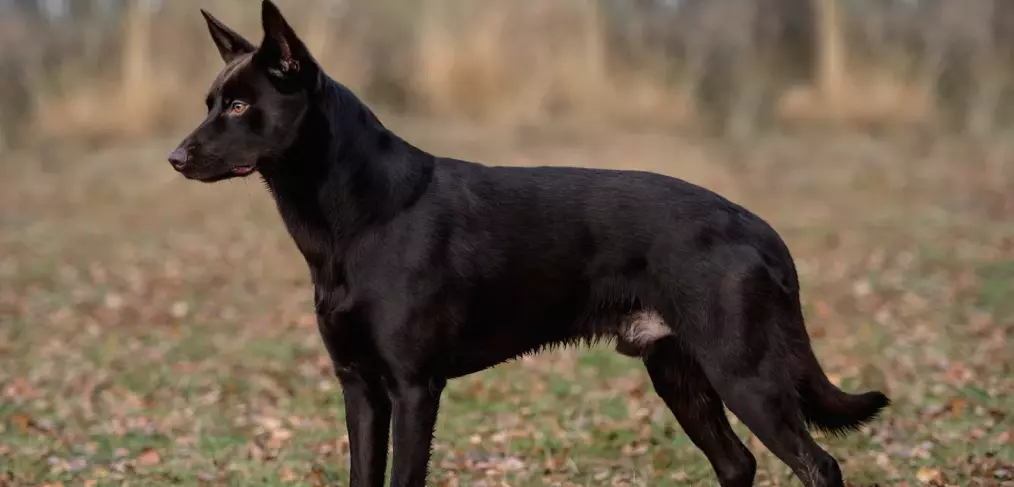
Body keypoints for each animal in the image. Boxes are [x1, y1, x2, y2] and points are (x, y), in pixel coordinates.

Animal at [166, 1, 888, 484]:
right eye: (211, 101)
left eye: (239, 106)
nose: (174, 157)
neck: (362, 216)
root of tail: (759, 227)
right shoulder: (359, 386)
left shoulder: (414, 386)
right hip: (678, 372)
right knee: (737, 463)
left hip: (745, 373)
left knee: (819, 464)